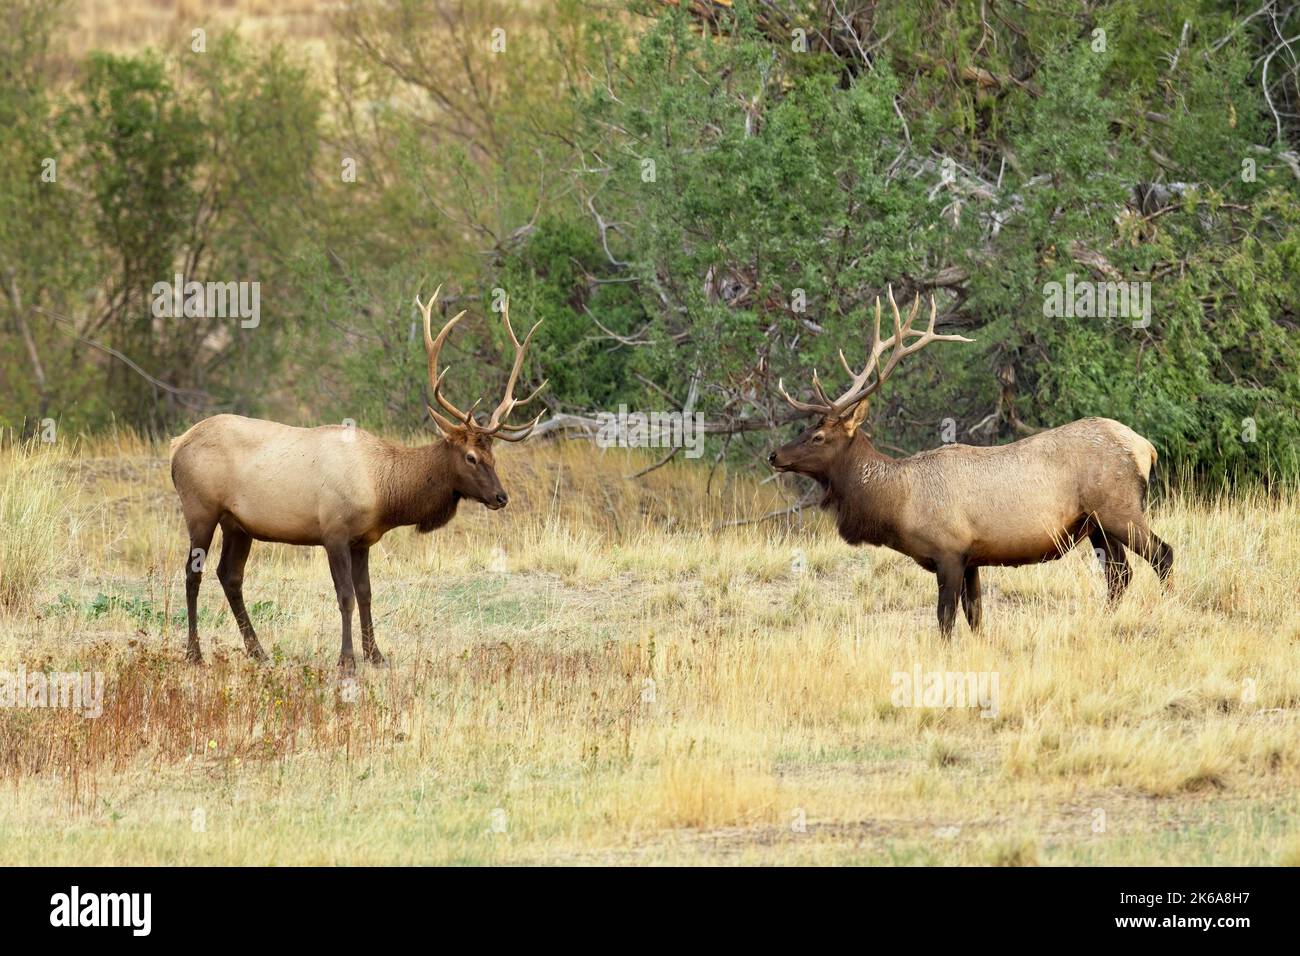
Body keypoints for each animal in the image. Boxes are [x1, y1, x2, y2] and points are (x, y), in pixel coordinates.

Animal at [169, 286, 546, 672]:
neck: (382, 490)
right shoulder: (333, 531)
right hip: (200, 509)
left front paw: (376, 655)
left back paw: (258, 650)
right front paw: (347, 659)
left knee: (230, 575)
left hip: (238, 523)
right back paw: (194, 654)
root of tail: (177, 443)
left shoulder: (363, 540)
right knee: (193, 573)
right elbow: (346, 596)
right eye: (471, 457)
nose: (501, 497)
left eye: (494, 456)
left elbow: (366, 594)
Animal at [768, 287, 1173, 636]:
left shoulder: (949, 550)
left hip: (1119, 509)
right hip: (1096, 524)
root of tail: (1146, 448)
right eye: (806, 428)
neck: (898, 502)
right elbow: (975, 616)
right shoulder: (972, 558)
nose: (774, 454)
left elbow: (945, 618)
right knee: (1120, 574)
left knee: (1162, 555)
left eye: (819, 437)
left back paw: (1171, 609)